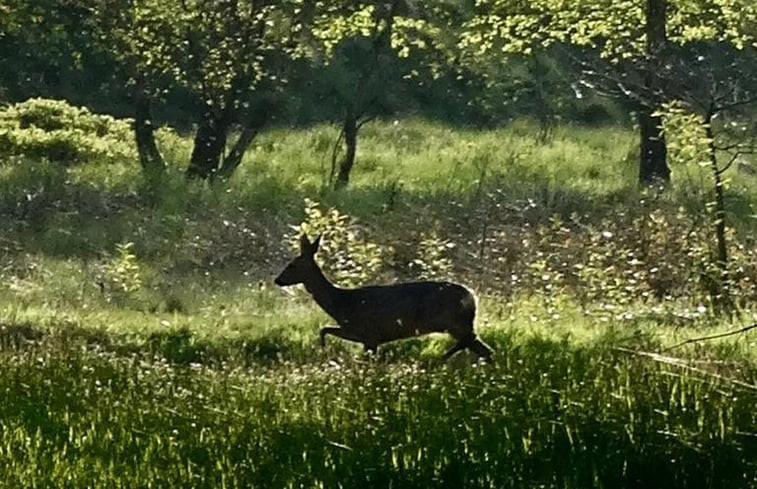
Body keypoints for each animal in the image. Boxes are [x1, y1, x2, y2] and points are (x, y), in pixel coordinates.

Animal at [274, 233, 494, 358]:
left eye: (292, 265)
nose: (278, 280)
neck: (341, 304)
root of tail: (472, 297)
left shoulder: (369, 334)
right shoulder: (361, 334)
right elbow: (324, 329)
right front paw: (323, 350)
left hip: (453, 322)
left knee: (474, 343)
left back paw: (440, 359)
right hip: (458, 323)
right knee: (483, 348)